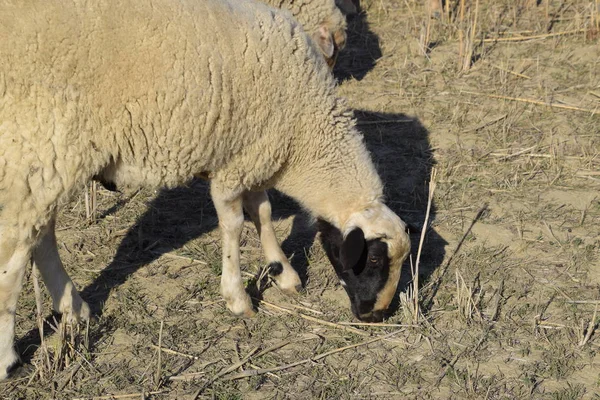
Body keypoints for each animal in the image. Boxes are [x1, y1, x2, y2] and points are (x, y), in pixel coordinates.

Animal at [0, 0, 410, 378]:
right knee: (16, 254)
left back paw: (74, 309)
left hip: (50, 161)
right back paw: (8, 356)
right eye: (374, 259)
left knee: (42, 235)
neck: (304, 135)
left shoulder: (254, 157)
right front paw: (238, 298)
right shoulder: (234, 166)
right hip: (39, 146)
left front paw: (282, 272)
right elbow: (234, 225)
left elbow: (262, 212)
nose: (376, 315)